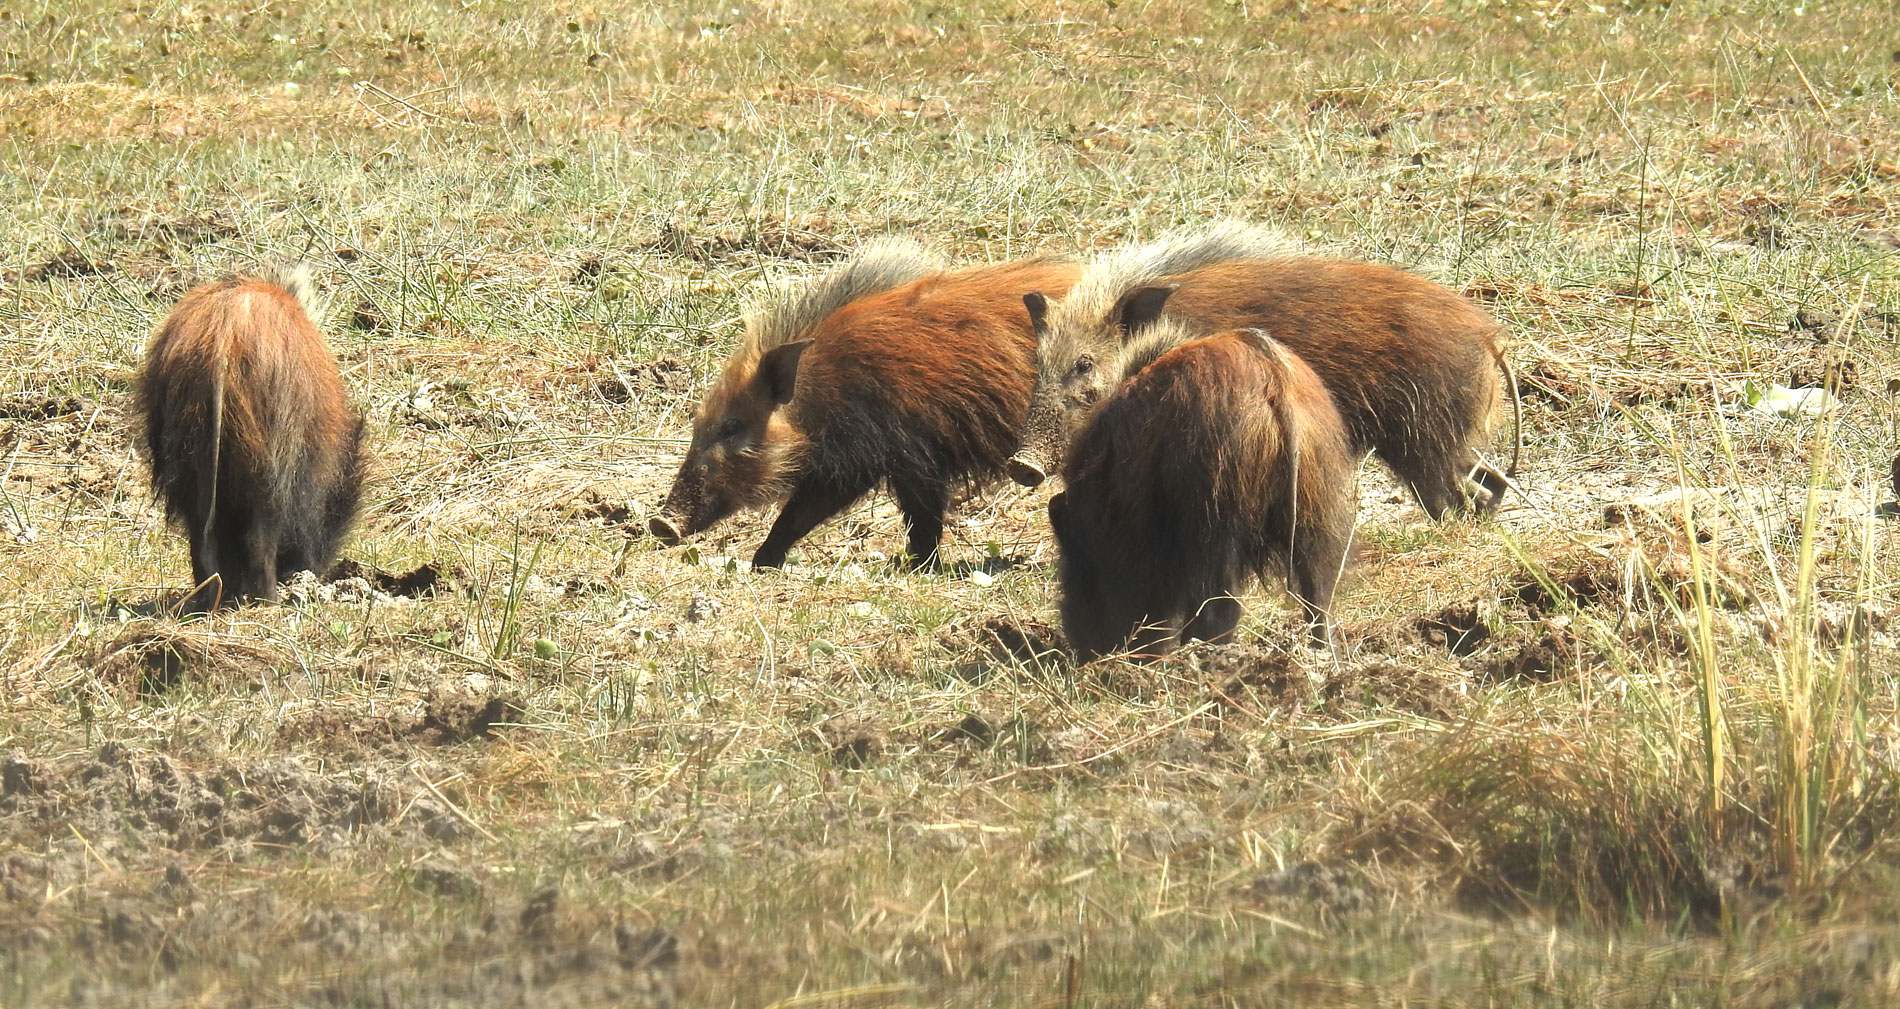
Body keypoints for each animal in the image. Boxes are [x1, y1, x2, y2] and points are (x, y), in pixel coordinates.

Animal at [138, 264, 366, 611]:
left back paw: (213, 600)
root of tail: (221, 341)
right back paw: (269, 600)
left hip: (190, 464)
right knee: (258, 538)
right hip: (268, 466)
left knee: (201, 536)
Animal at [1018, 222, 1520, 520]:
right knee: (1489, 483)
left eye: (1084, 365)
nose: (1021, 466)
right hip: (1446, 441)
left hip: (1423, 440)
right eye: (1038, 365)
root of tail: (1488, 336)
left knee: (1450, 498)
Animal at [1048, 326, 1360, 661]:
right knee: (1319, 597)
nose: (1086, 651)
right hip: (1315, 511)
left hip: (1215, 525)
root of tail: (1271, 379)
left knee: (1221, 608)